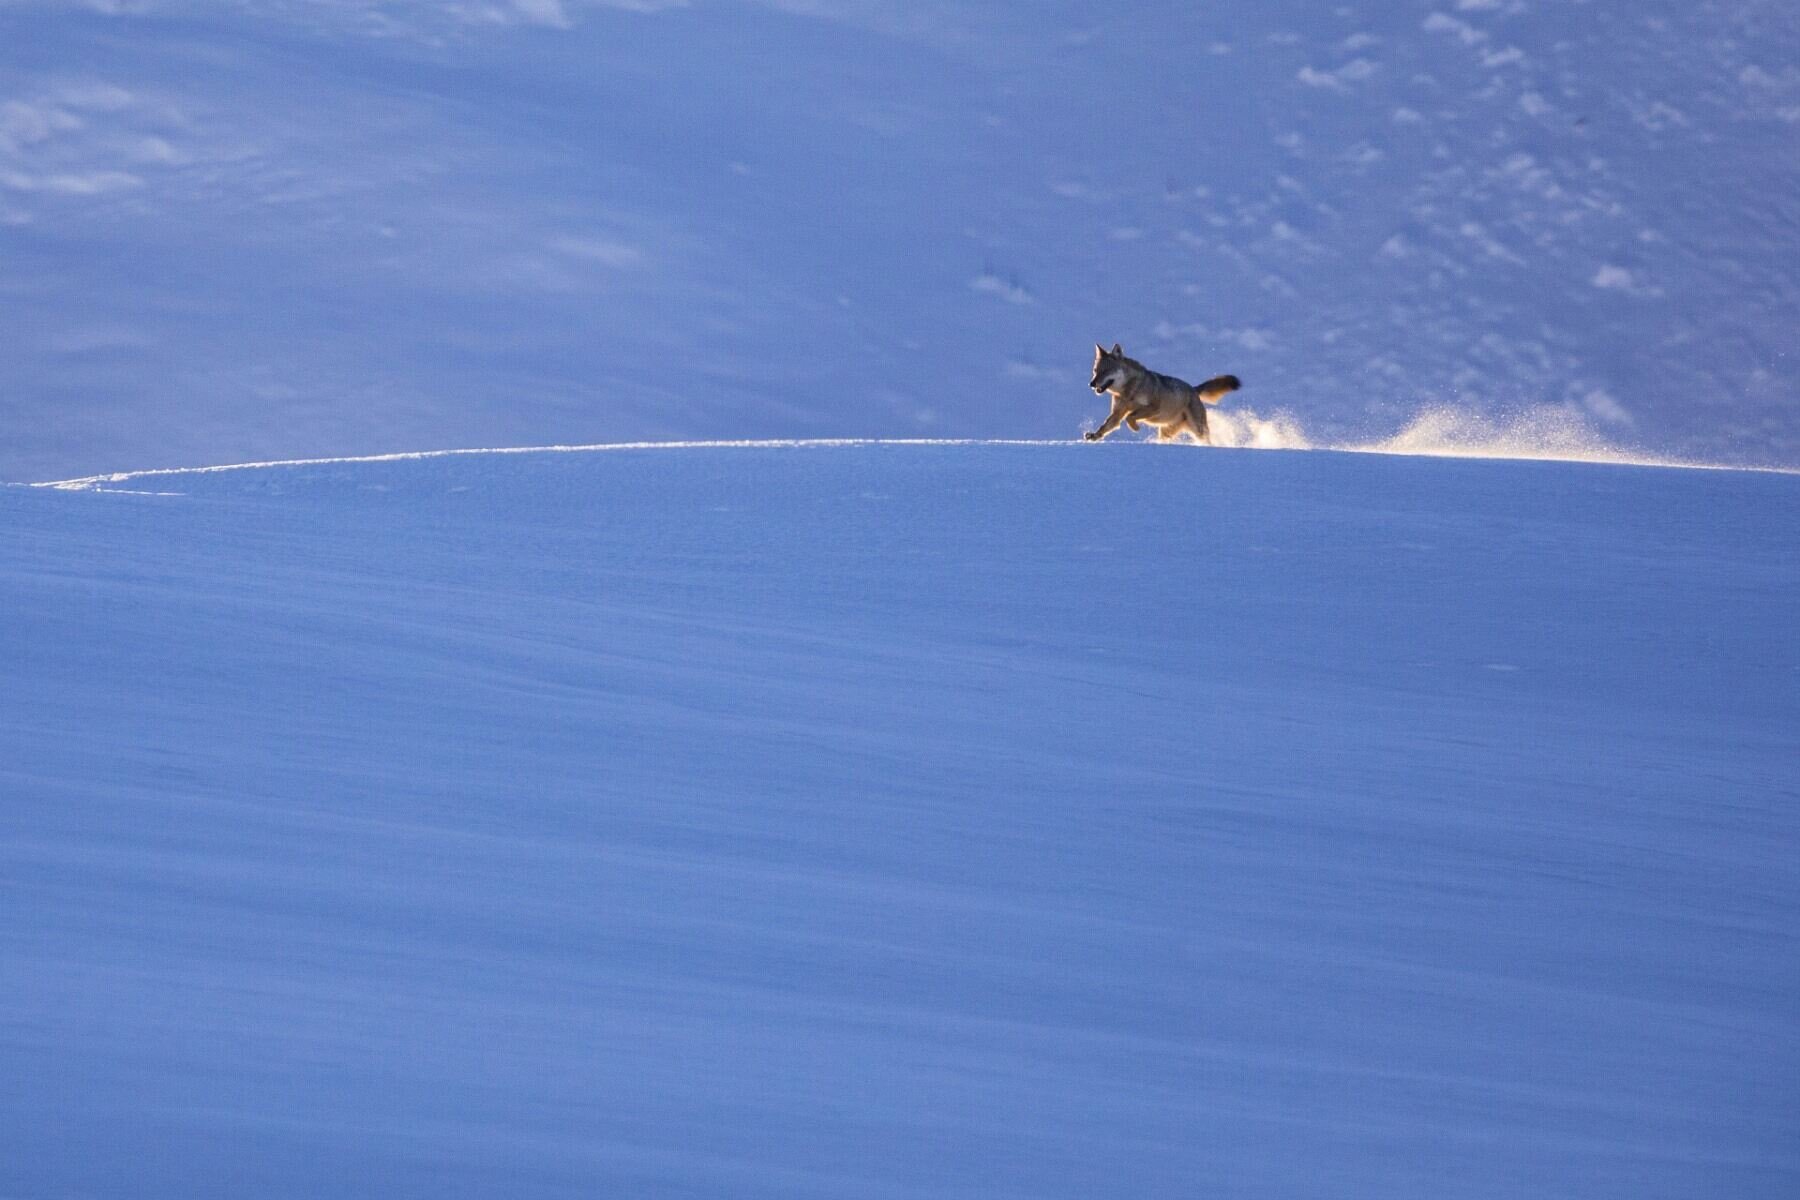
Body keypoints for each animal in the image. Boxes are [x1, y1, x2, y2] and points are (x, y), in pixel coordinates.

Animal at [1085, 343, 1240, 443]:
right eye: (1095, 371)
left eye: (1105, 371)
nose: (1091, 384)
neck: (1130, 391)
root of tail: (1193, 389)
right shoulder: (1117, 414)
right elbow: (1105, 426)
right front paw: (1093, 436)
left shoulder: (1154, 407)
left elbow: (1130, 417)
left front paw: (1135, 428)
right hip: (1166, 433)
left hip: (1199, 430)